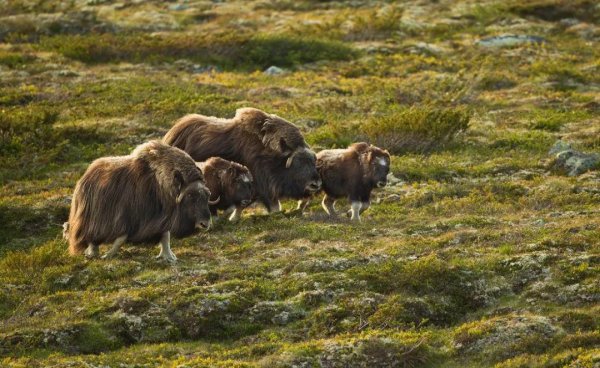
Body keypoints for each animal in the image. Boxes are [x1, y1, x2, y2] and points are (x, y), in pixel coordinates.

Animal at [65, 139, 213, 264]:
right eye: (190, 196)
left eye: (207, 194)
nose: (205, 224)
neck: (160, 185)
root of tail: (87, 172)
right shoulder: (130, 216)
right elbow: (122, 237)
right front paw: (108, 255)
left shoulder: (161, 218)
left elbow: (165, 236)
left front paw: (169, 257)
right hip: (90, 219)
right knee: (91, 237)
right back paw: (92, 253)